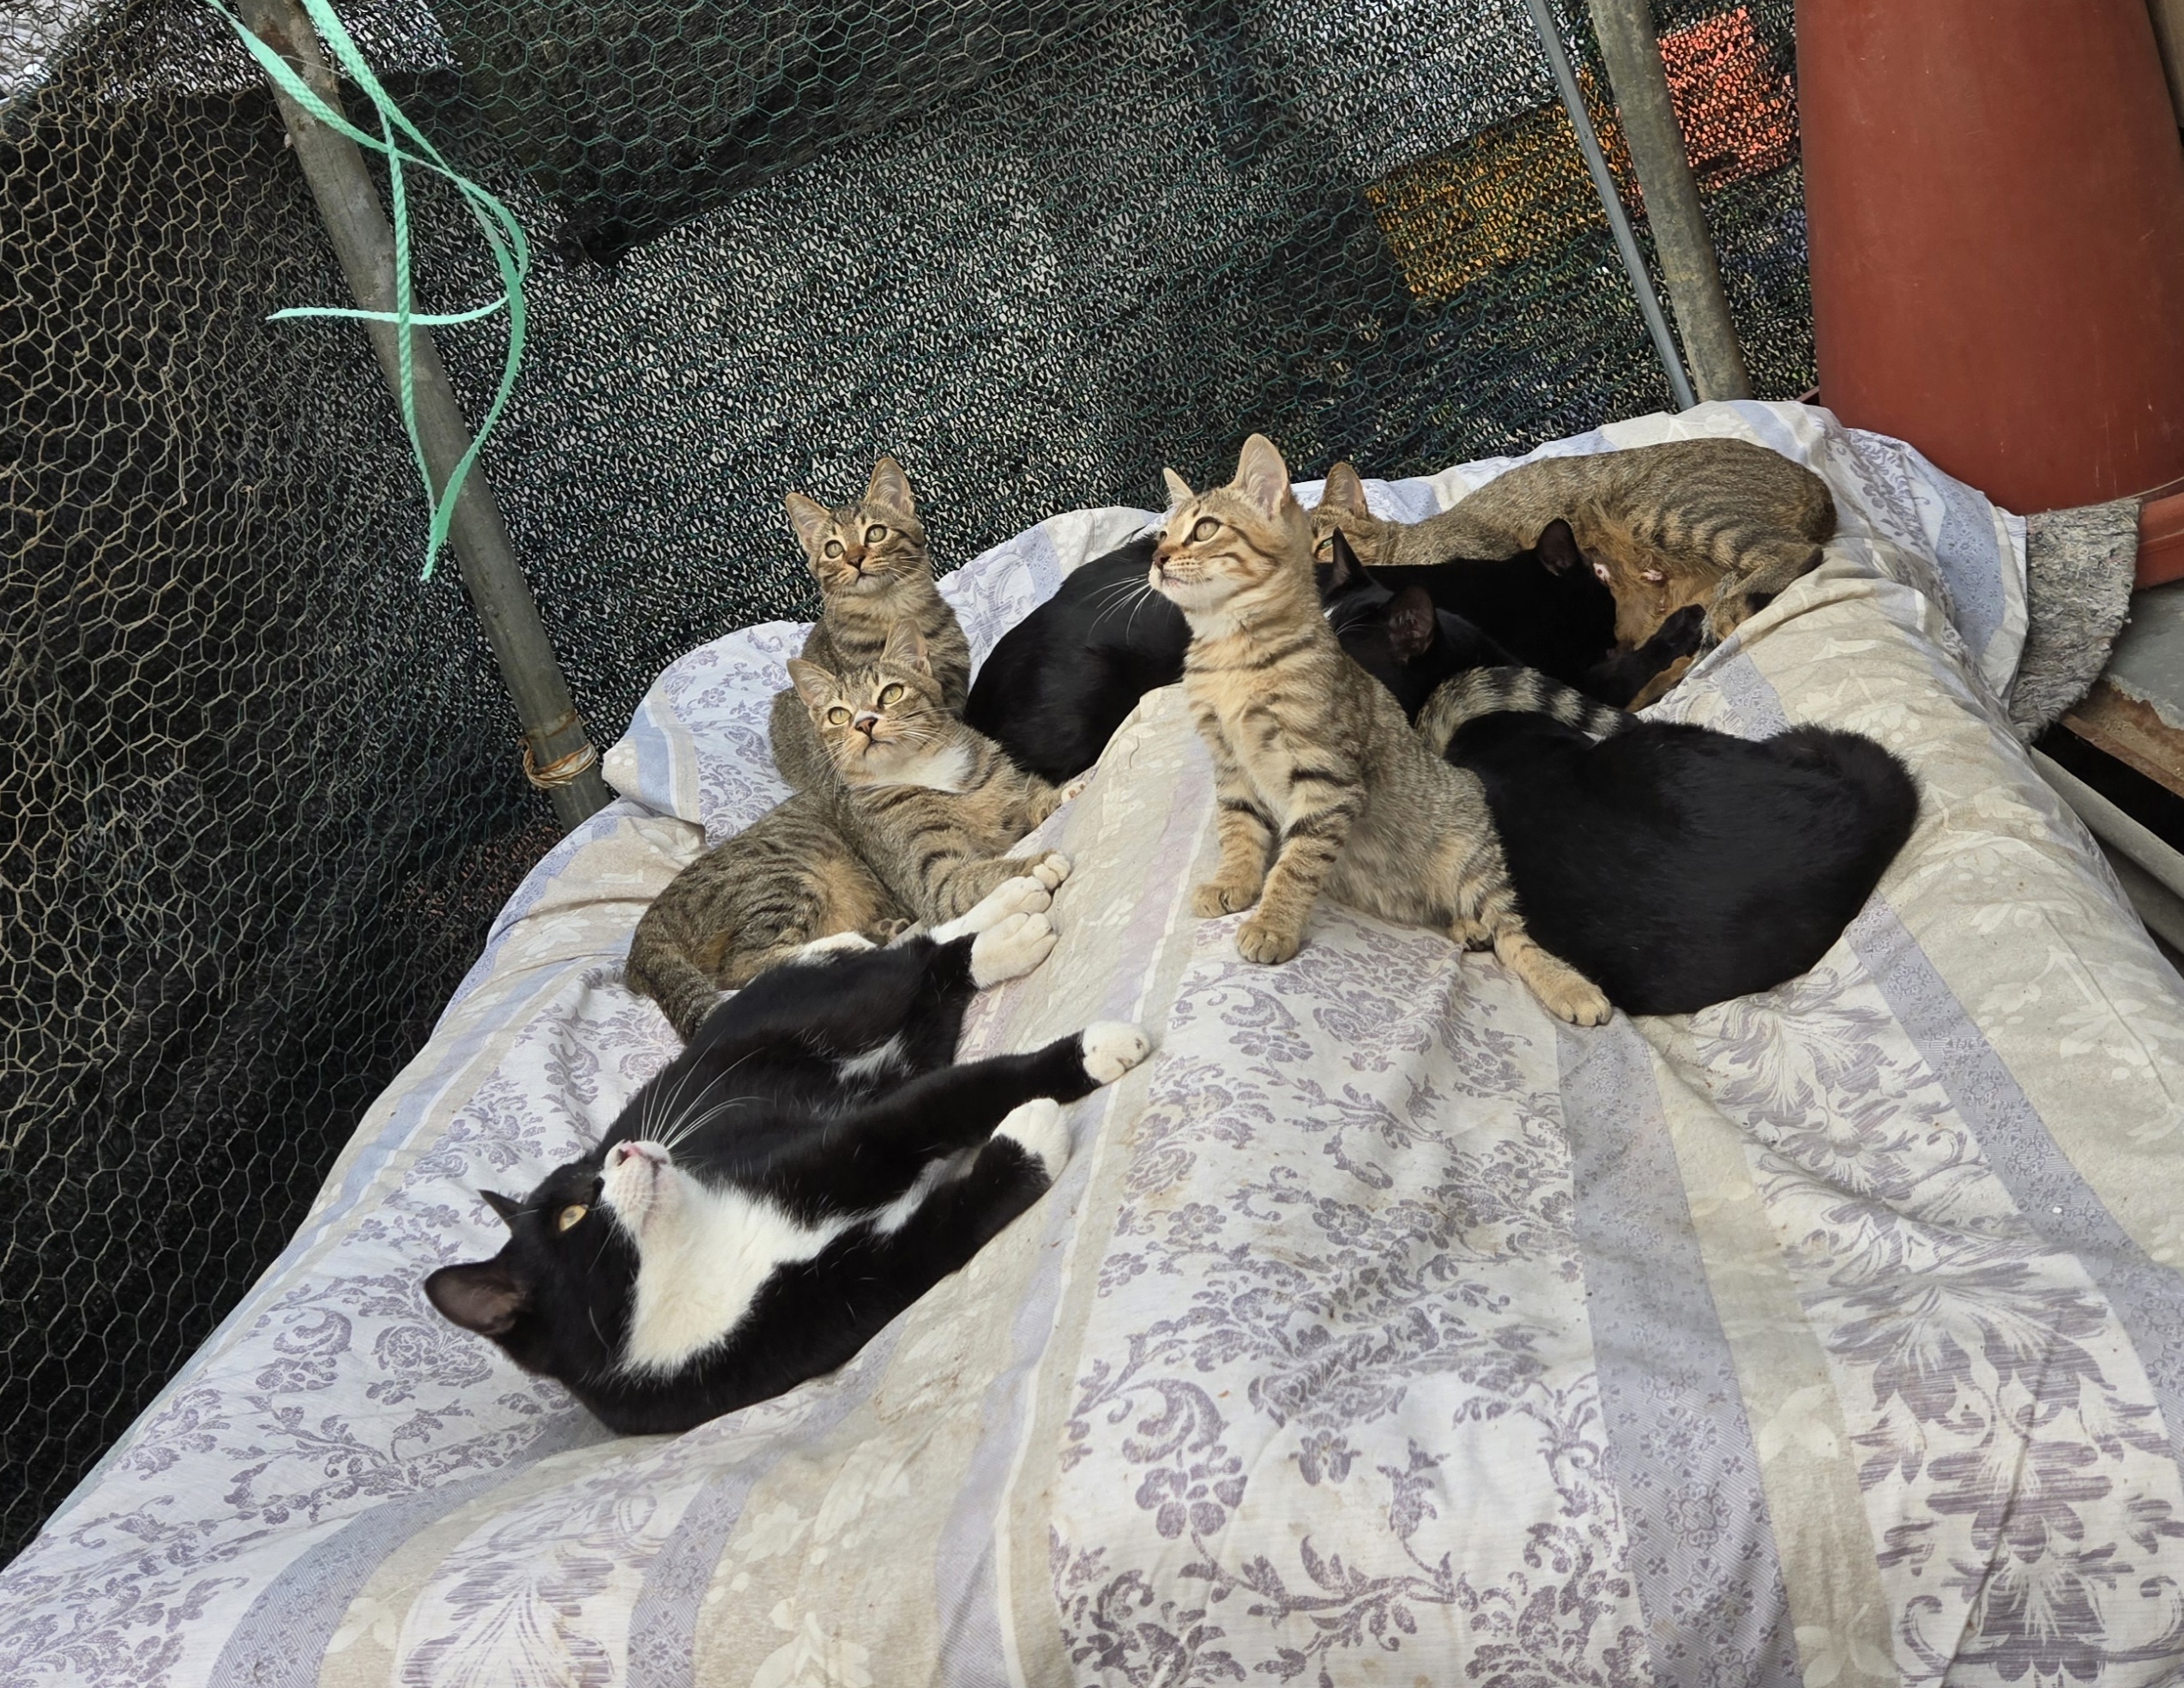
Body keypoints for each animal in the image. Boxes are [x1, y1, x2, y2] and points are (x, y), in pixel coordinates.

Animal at [427, 878, 1154, 1435]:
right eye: (574, 1216)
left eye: (591, 1168)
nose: (629, 1147)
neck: (695, 1258)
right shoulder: (810, 1320)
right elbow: (933, 1239)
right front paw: (1029, 1133)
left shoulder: (831, 1145)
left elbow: (945, 1101)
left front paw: (1093, 1050)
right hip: (911, 1041)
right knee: (930, 989)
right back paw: (1010, 930)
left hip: (838, 1008)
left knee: (915, 958)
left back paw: (1012, 912)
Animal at [1150, 433, 1611, 1025]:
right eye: (1161, 533)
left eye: (1205, 528)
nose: (1158, 558)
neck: (1231, 658)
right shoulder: (1232, 767)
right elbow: (1240, 833)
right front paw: (1234, 882)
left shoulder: (1328, 776)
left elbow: (1296, 864)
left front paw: (1273, 924)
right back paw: (1467, 927)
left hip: (1472, 853)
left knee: (1512, 930)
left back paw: (1566, 985)